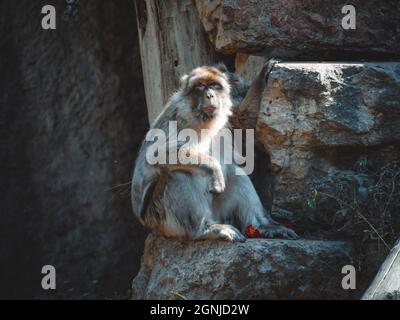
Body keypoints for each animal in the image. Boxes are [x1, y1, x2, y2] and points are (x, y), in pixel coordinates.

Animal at [131, 62, 296, 242]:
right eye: (200, 87)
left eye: (215, 86)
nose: (209, 95)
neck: (203, 122)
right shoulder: (176, 119)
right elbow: (155, 156)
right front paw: (214, 168)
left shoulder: (227, 117)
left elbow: (245, 127)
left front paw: (261, 80)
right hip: (163, 220)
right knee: (177, 173)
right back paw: (203, 229)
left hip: (219, 211)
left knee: (234, 170)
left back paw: (263, 224)